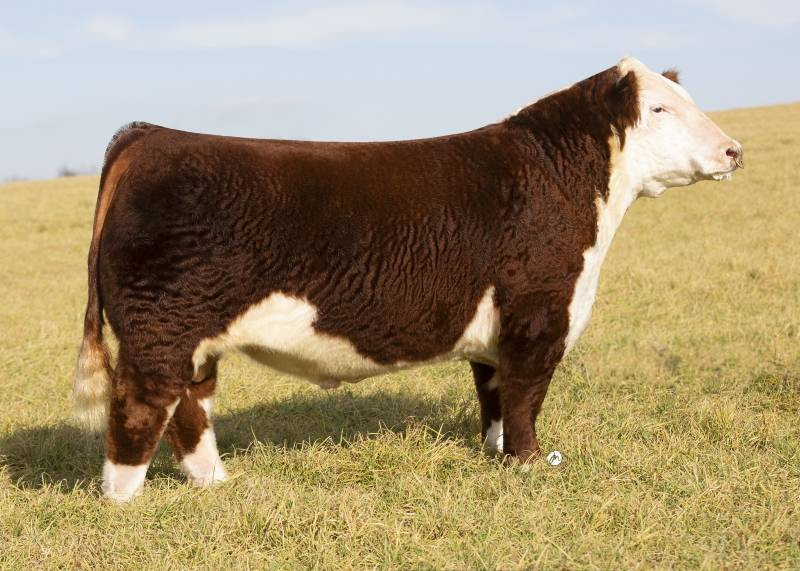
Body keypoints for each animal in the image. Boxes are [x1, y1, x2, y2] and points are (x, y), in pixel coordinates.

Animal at [74, 57, 742, 502]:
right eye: (659, 109)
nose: (734, 150)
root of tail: (150, 136)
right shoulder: (538, 314)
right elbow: (526, 396)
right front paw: (530, 466)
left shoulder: (496, 331)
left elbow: (494, 396)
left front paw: (497, 454)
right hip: (159, 327)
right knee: (140, 405)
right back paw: (124, 501)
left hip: (191, 338)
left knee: (190, 406)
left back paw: (215, 484)